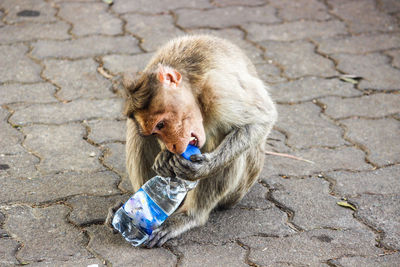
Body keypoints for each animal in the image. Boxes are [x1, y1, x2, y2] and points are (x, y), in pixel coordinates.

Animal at [109, 34, 278, 248]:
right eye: (155, 132)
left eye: (161, 124)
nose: (173, 145)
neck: (195, 88)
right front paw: (165, 156)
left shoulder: (219, 89)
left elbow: (262, 118)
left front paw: (204, 167)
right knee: (135, 132)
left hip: (238, 191)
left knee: (224, 135)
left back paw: (190, 216)